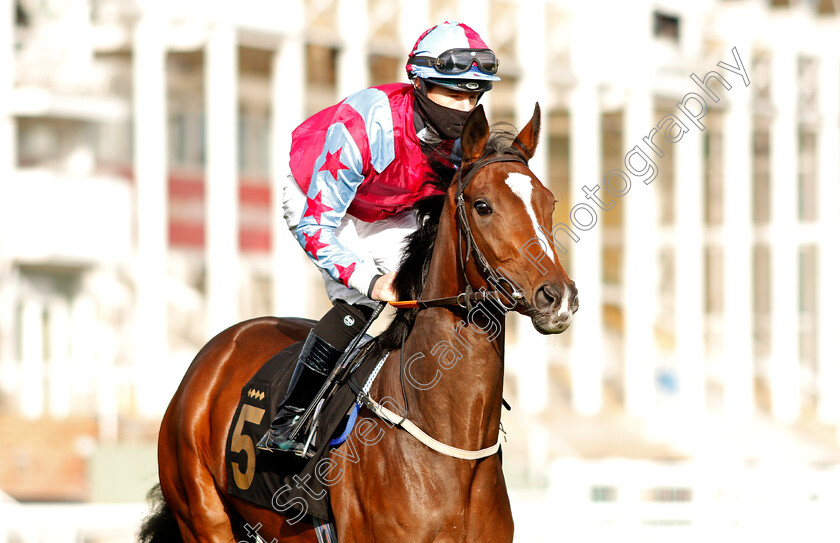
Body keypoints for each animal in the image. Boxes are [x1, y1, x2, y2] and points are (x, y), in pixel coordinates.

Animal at [143, 103, 576, 543]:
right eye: (483, 206)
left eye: (549, 201)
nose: (558, 296)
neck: (456, 449)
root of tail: (216, 351)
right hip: (202, 516)